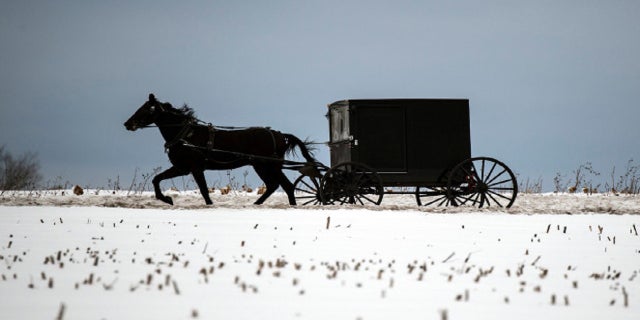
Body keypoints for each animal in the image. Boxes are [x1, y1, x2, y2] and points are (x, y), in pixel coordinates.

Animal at [123, 94, 318, 206]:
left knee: (284, 186)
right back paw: (259, 204)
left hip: (266, 165)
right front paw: (167, 199)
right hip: (265, 166)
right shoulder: (182, 168)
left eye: (147, 109)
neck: (187, 135)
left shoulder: (194, 168)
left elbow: (203, 190)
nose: (127, 124)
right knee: (278, 186)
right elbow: (156, 179)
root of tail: (279, 134)